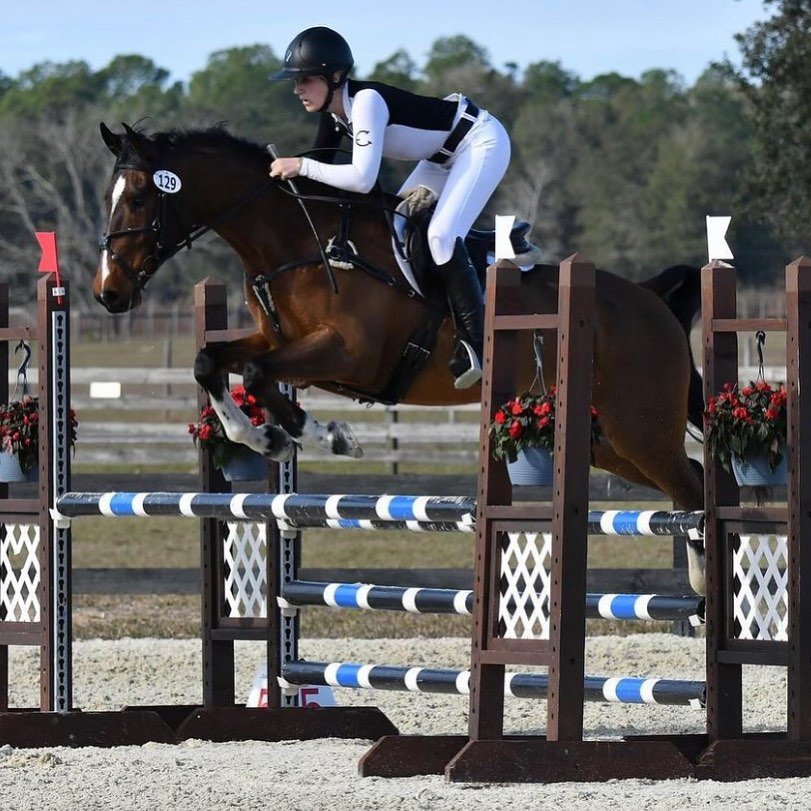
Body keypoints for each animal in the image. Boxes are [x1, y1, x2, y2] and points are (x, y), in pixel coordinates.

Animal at [92, 122, 708, 588]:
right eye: (108, 199)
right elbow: (211, 362)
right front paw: (266, 438)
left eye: (141, 198)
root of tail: (649, 298)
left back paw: (707, 591)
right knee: (691, 481)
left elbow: (259, 374)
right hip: (603, 439)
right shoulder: (280, 341)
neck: (299, 241)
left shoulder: (348, 355)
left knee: (693, 487)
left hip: (638, 425)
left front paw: (325, 435)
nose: (107, 293)